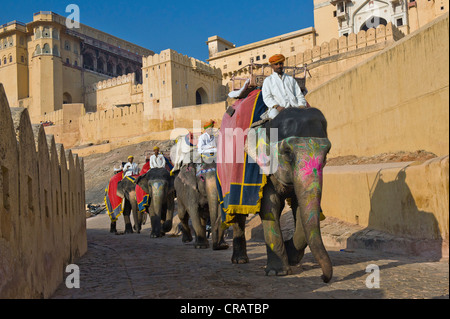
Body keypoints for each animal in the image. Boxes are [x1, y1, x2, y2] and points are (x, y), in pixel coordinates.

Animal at [230, 108, 332, 284]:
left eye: (327, 153)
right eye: (288, 153)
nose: (323, 278)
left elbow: (300, 208)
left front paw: (291, 256)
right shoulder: (264, 171)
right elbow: (270, 207)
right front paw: (277, 272)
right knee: (238, 213)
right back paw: (240, 260)